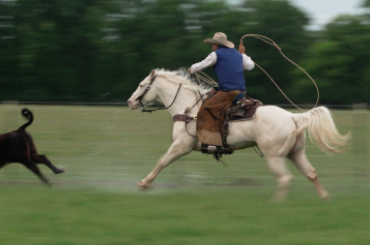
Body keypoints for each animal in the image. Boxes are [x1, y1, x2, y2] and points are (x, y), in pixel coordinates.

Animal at [127, 68, 350, 200]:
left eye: (141, 85)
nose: (130, 102)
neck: (188, 108)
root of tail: (293, 117)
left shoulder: (181, 146)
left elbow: (161, 162)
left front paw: (143, 184)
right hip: (295, 153)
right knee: (310, 173)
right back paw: (324, 198)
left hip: (274, 156)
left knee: (285, 178)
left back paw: (276, 204)